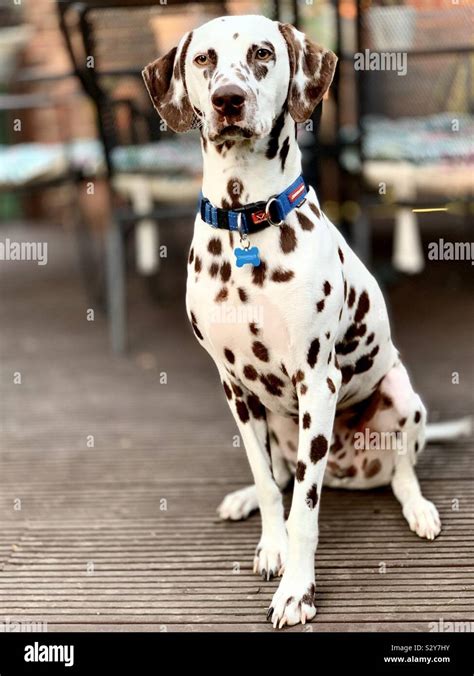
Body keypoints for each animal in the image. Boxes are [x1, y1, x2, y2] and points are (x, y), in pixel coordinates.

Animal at [143, 14, 442, 628]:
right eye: (204, 59)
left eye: (262, 53)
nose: (228, 99)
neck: (244, 221)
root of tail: (350, 469)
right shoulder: (235, 388)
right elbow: (269, 483)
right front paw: (271, 545)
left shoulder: (317, 381)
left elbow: (305, 511)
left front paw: (297, 591)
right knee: (280, 475)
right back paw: (244, 502)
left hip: (402, 396)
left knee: (399, 468)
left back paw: (418, 507)